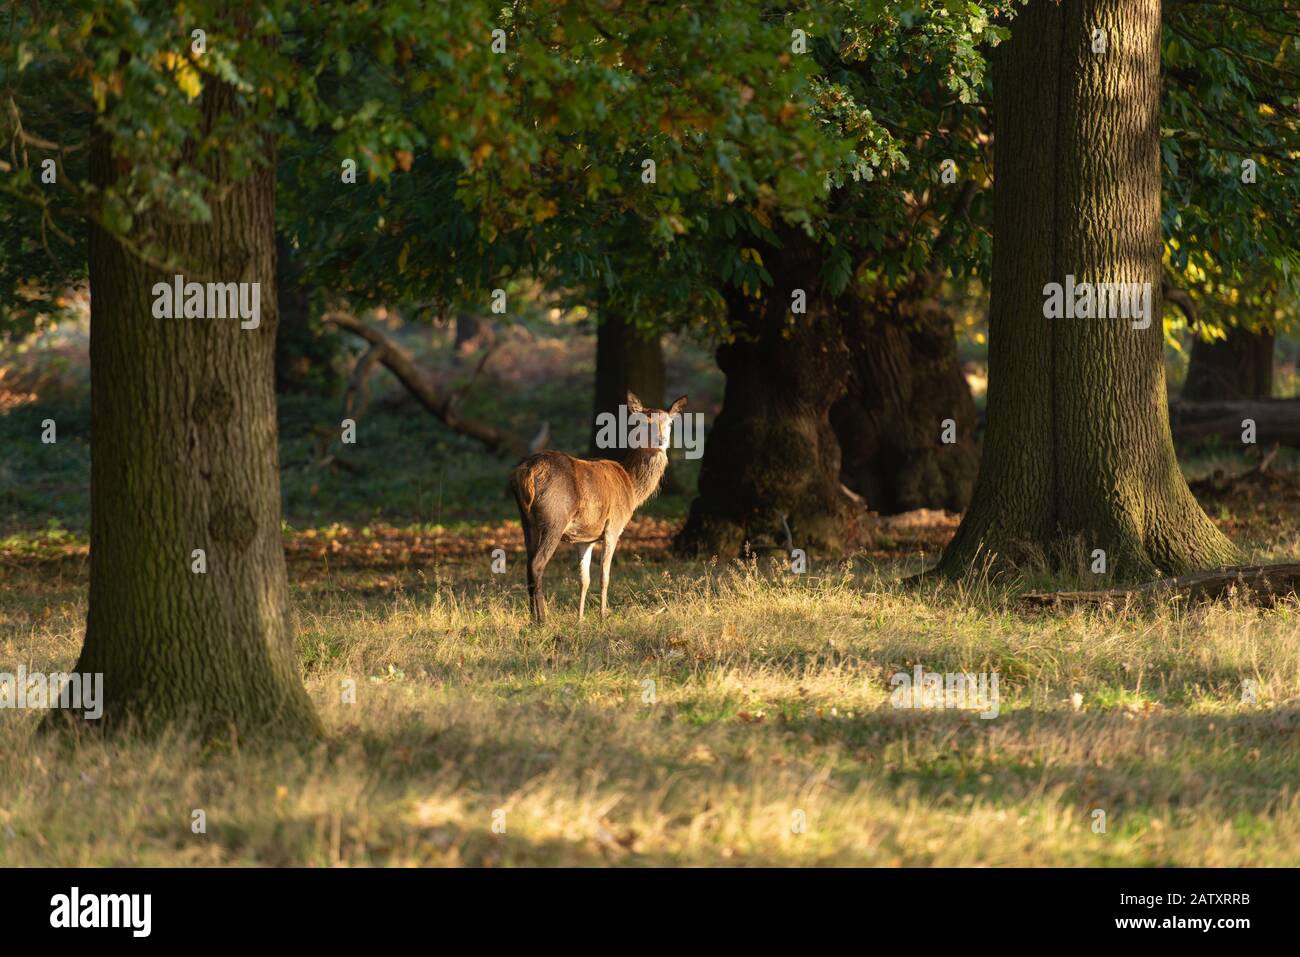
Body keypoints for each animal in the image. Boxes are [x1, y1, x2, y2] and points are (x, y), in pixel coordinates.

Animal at [510, 391, 687, 623]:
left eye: (669, 423)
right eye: (642, 422)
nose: (660, 440)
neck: (631, 488)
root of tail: (527, 473)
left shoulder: (585, 538)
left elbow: (584, 579)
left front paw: (580, 618)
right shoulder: (614, 525)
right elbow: (605, 575)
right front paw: (603, 616)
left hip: (526, 519)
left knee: (528, 563)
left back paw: (533, 618)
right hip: (555, 517)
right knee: (537, 564)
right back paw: (542, 620)